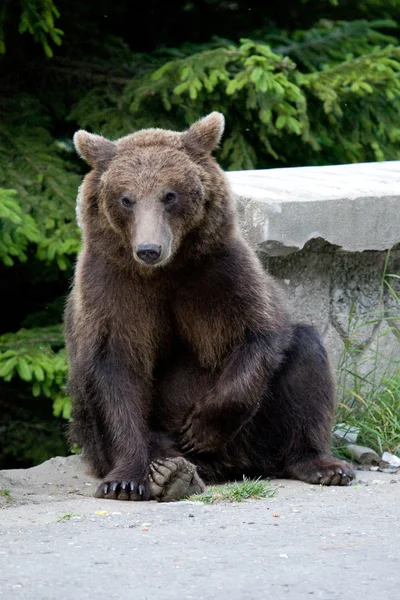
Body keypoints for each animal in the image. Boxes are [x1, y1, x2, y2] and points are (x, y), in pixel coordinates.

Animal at [65, 112, 354, 502]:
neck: (166, 271)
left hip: (260, 426)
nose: (149, 249)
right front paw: (124, 480)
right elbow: (116, 371)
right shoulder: (112, 287)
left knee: (306, 359)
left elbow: (260, 332)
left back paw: (321, 464)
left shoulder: (220, 272)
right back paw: (171, 473)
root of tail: (231, 466)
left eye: (169, 195)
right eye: (126, 199)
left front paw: (200, 429)